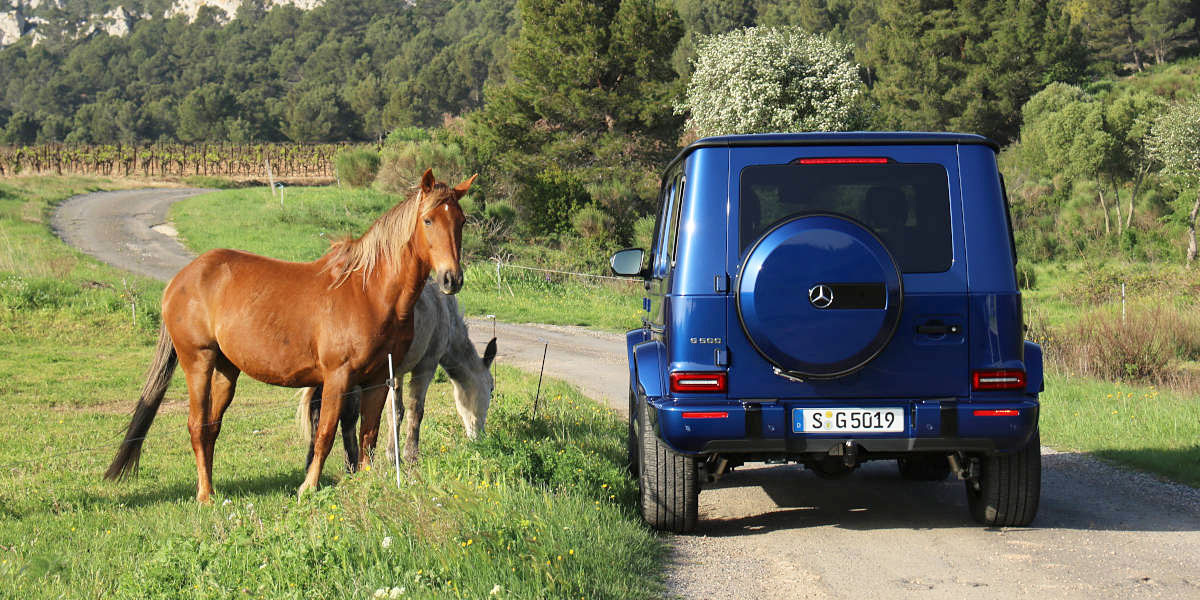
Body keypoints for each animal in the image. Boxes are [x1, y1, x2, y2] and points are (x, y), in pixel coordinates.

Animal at [105, 169, 472, 501]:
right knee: (196, 426)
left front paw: (367, 484)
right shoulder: (337, 376)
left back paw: (212, 489)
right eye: (427, 220)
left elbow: (369, 434)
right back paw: (205, 496)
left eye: (462, 221)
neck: (370, 291)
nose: (451, 279)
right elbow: (325, 433)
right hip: (198, 362)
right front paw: (308, 487)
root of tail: (180, 279)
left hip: (226, 370)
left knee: (211, 428)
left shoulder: (380, 377)